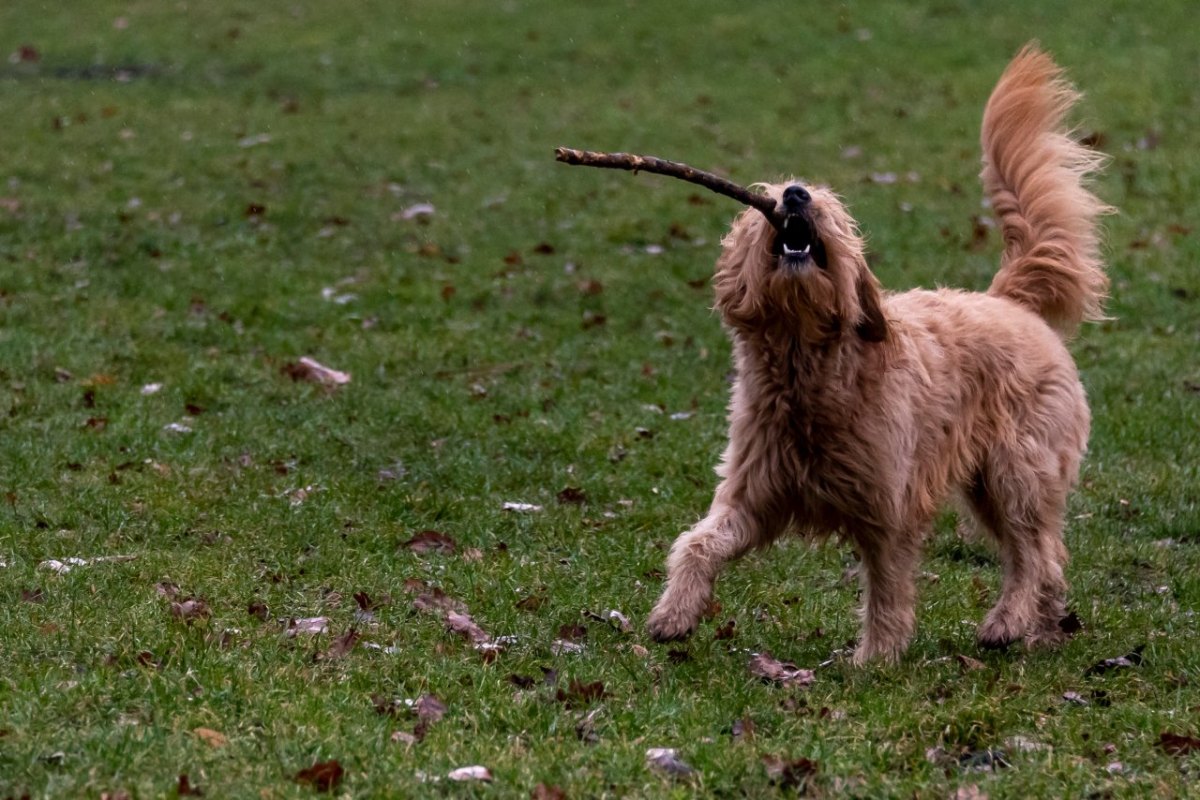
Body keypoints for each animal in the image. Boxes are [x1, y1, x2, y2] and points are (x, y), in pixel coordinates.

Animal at [648, 43, 1104, 662]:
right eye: (772, 194)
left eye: (832, 207)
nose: (796, 194)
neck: (808, 370)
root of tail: (1009, 300)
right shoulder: (753, 496)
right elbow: (698, 542)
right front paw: (674, 613)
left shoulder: (888, 508)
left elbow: (887, 589)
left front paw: (876, 660)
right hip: (993, 483)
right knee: (1048, 555)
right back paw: (1044, 628)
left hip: (1017, 471)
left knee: (1033, 550)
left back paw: (1009, 621)